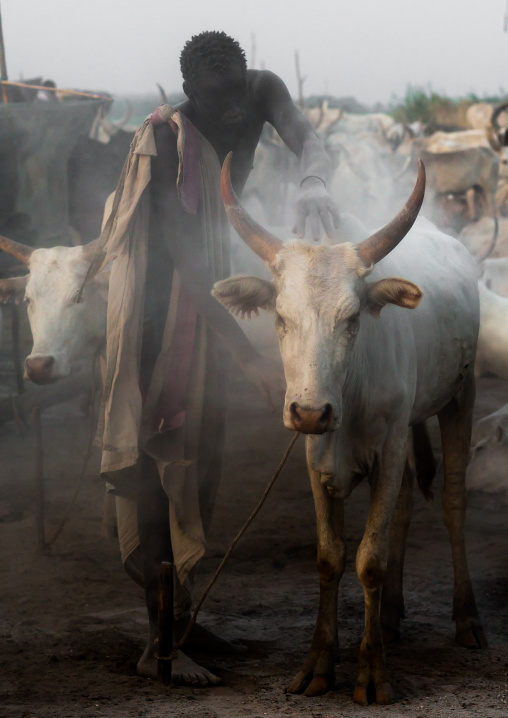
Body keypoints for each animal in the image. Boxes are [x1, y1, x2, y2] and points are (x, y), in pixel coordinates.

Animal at [212, 153, 486, 705]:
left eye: (353, 318)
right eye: (280, 317)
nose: (310, 411)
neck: (350, 392)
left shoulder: (390, 446)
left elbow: (369, 559)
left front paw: (372, 672)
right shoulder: (317, 459)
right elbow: (330, 557)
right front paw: (319, 663)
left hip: (459, 398)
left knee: (452, 500)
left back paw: (466, 618)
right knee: (406, 503)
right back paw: (393, 615)